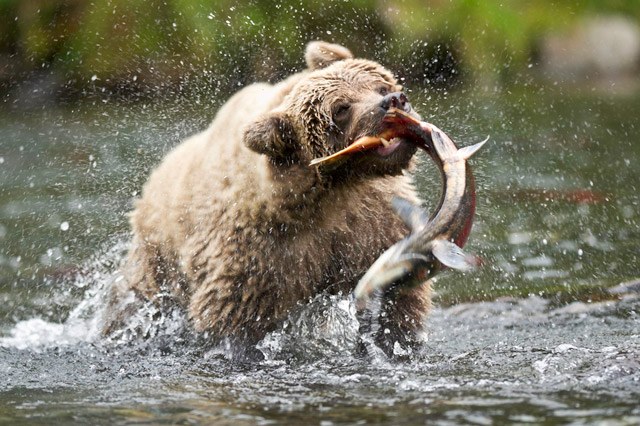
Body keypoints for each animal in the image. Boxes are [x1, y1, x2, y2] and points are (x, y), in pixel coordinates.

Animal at [105, 40, 432, 356]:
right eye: (341, 108)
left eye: (380, 86)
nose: (394, 101)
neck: (330, 194)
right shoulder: (258, 253)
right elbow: (231, 318)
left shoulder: (373, 222)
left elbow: (402, 295)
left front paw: (396, 339)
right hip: (157, 260)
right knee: (132, 303)